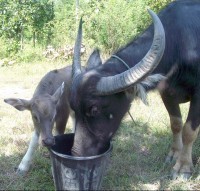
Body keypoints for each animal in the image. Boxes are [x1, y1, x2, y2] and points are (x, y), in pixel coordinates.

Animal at [69, 0, 199, 179]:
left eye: (94, 109)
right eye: (73, 108)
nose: (77, 155)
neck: (181, 43)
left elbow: (189, 131)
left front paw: (183, 167)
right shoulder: (167, 93)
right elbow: (176, 124)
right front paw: (174, 154)